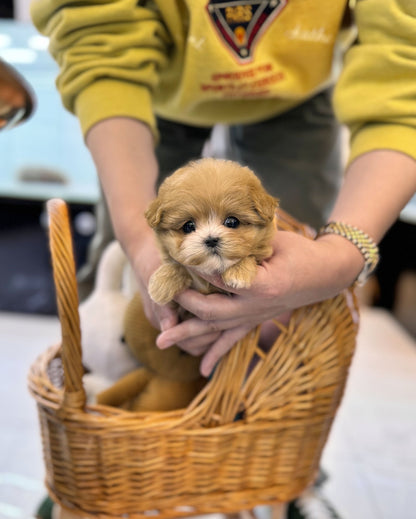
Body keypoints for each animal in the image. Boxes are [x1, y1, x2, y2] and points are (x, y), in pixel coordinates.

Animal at [145, 158, 278, 304]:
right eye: (188, 226)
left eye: (232, 222)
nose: (211, 240)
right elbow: (178, 264)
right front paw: (162, 283)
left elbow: (250, 255)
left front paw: (238, 272)